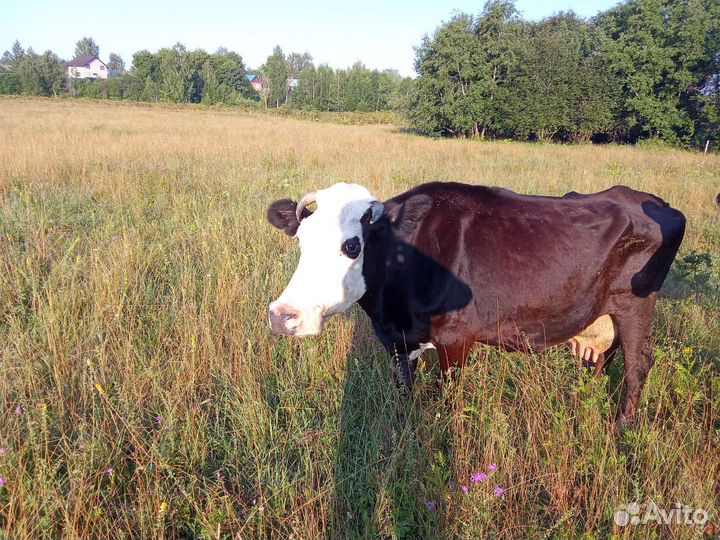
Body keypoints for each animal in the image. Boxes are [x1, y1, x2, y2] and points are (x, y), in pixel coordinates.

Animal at [266, 182, 686, 427]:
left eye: (352, 245)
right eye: (301, 239)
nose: (283, 316)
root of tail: (653, 200)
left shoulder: (455, 340)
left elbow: (448, 398)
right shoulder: (398, 342)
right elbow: (404, 393)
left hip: (634, 303)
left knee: (638, 365)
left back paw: (623, 427)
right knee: (602, 358)